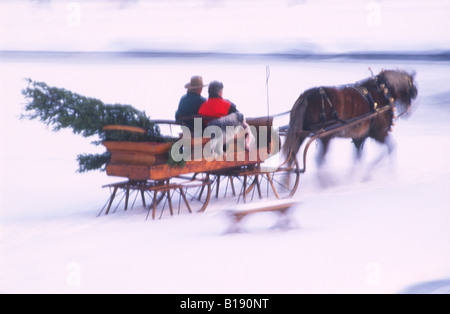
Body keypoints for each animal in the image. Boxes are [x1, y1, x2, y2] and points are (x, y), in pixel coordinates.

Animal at [284, 68, 416, 178]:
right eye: (411, 85)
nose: (415, 93)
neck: (382, 92)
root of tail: (306, 97)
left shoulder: (360, 136)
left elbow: (358, 157)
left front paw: (354, 176)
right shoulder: (378, 133)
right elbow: (391, 147)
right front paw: (381, 172)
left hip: (302, 134)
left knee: (292, 156)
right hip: (325, 135)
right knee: (319, 159)